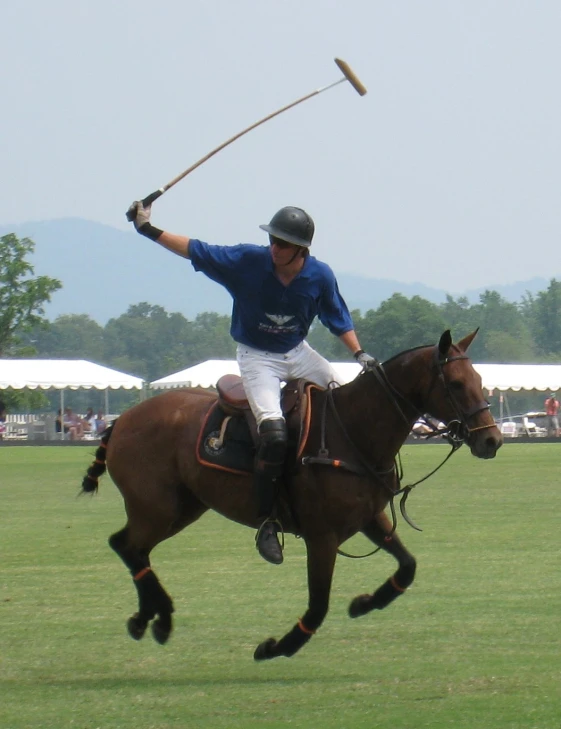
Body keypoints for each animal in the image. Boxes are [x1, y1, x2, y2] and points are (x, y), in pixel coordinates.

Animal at [82, 330, 498, 660]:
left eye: (480, 377)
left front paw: (364, 604)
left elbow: (408, 566)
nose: (491, 440)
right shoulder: (322, 536)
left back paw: (149, 619)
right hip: (157, 507)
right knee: (126, 545)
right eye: (455, 383)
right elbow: (318, 605)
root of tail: (122, 420)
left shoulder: (369, 517)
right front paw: (276, 647)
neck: (353, 431)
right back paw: (160, 617)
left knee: (132, 547)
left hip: (184, 506)